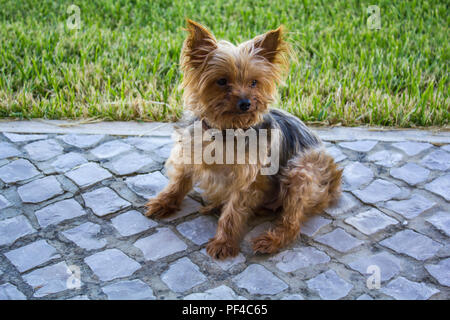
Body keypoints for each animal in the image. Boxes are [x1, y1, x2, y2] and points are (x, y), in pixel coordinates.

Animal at [144, 20, 342, 258]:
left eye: (254, 82)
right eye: (222, 81)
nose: (246, 103)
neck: (226, 130)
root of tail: (334, 178)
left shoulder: (247, 178)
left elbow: (233, 212)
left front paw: (223, 243)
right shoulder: (189, 152)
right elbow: (178, 182)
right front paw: (163, 203)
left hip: (301, 172)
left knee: (292, 221)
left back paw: (271, 240)